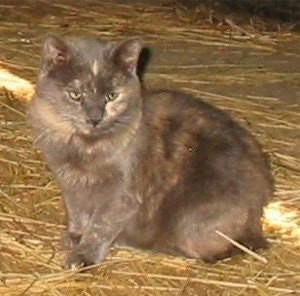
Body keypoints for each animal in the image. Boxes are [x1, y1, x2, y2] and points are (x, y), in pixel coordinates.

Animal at [28, 34, 274, 268]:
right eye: (76, 95)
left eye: (111, 96)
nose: (95, 118)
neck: (84, 147)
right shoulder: (69, 183)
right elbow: (76, 211)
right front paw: (75, 234)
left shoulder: (121, 194)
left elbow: (100, 226)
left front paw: (83, 254)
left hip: (190, 221)